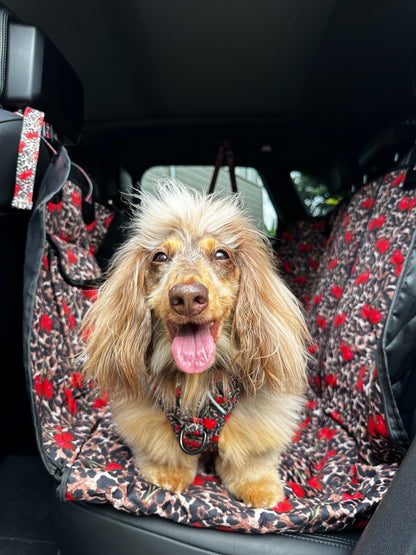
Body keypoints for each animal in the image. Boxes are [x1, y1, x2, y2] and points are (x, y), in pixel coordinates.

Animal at [81, 182, 308, 508]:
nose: (187, 297)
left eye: (222, 254)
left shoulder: (259, 418)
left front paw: (259, 487)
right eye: (160, 257)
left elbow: (251, 459)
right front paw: (168, 474)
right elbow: (165, 451)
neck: (197, 382)